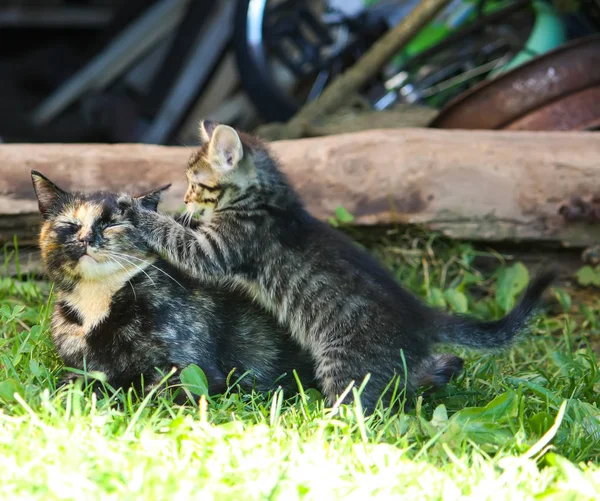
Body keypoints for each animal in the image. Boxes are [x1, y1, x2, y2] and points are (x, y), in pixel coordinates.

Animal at [31, 171, 318, 398]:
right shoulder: (80, 369)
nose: (86, 239)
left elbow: (145, 396)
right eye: (70, 224)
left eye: (113, 223)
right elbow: (69, 386)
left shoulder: (189, 371)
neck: (96, 302)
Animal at [119, 121, 556, 410]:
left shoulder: (218, 250)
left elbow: (178, 239)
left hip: (343, 360)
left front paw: (140, 212)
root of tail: (421, 316)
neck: (266, 203)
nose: (186, 198)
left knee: (362, 409)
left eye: (195, 183)